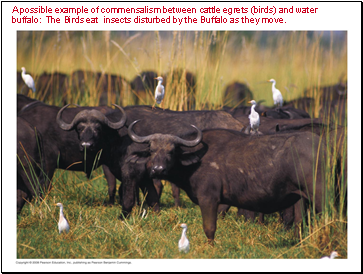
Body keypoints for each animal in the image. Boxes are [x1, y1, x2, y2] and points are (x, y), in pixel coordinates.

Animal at [126, 123, 326, 243]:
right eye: (152, 150)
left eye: (172, 151)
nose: (157, 169)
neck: (196, 159)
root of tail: (321, 146)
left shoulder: (209, 199)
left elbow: (209, 228)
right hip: (300, 198)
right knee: (299, 222)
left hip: (320, 197)